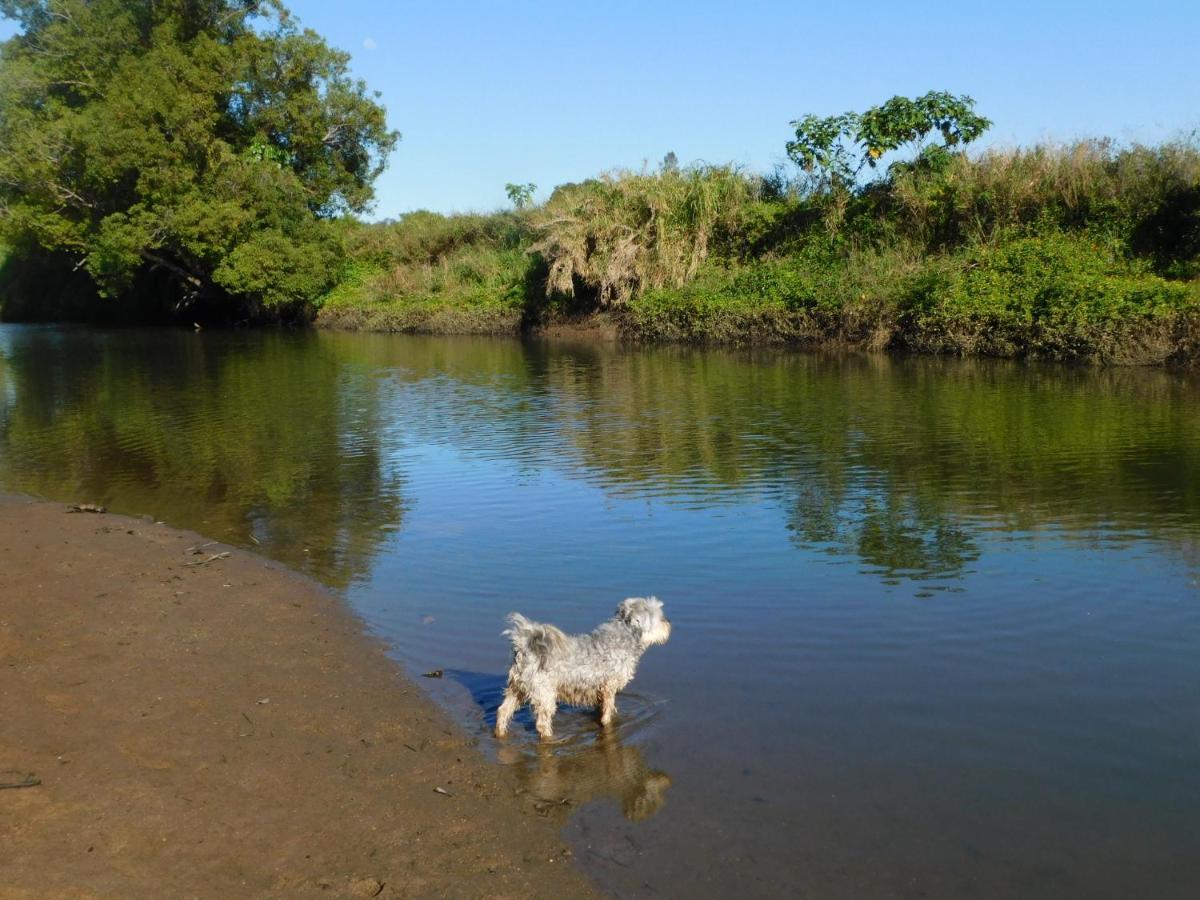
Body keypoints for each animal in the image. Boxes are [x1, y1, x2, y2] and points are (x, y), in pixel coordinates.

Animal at [492, 600, 672, 739]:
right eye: (658, 617)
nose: (668, 622)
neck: (625, 637)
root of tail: (524, 646)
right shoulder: (609, 687)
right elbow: (607, 713)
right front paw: (607, 722)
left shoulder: (599, 689)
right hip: (544, 694)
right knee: (541, 724)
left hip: (517, 688)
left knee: (502, 711)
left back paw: (500, 733)